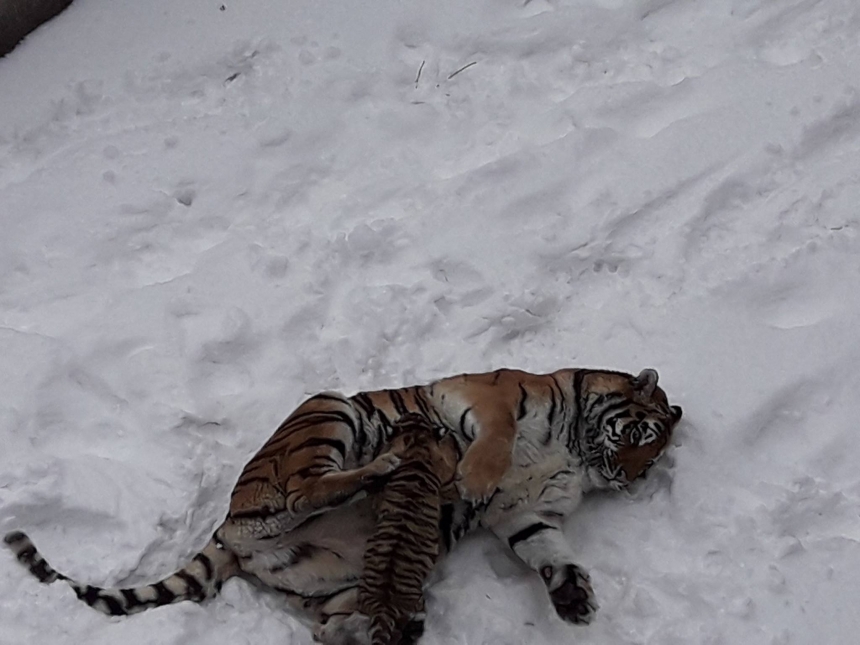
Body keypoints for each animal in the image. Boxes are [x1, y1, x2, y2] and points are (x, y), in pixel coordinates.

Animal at [5, 364, 680, 636]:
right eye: (637, 438)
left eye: (650, 462)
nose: (627, 479)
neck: (576, 452)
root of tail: (230, 529)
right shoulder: (483, 394)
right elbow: (495, 438)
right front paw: (473, 477)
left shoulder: (528, 514)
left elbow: (549, 552)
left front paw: (573, 597)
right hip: (330, 410)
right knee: (304, 489)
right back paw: (382, 467)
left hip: (337, 582)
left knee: (326, 625)